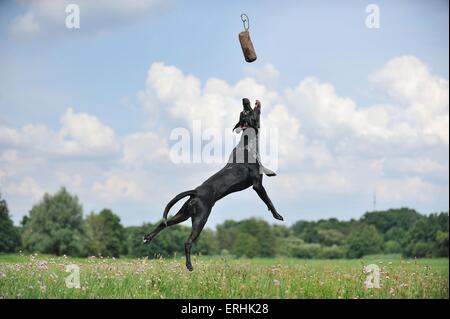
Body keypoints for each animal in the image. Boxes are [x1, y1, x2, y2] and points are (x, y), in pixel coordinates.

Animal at [144, 99, 284, 272]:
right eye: (245, 111)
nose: (245, 100)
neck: (247, 141)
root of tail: (196, 191)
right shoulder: (257, 185)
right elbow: (269, 200)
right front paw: (277, 215)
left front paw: (271, 172)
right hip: (200, 218)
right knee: (187, 242)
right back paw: (189, 265)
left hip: (183, 214)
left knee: (165, 223)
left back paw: (148, 237)